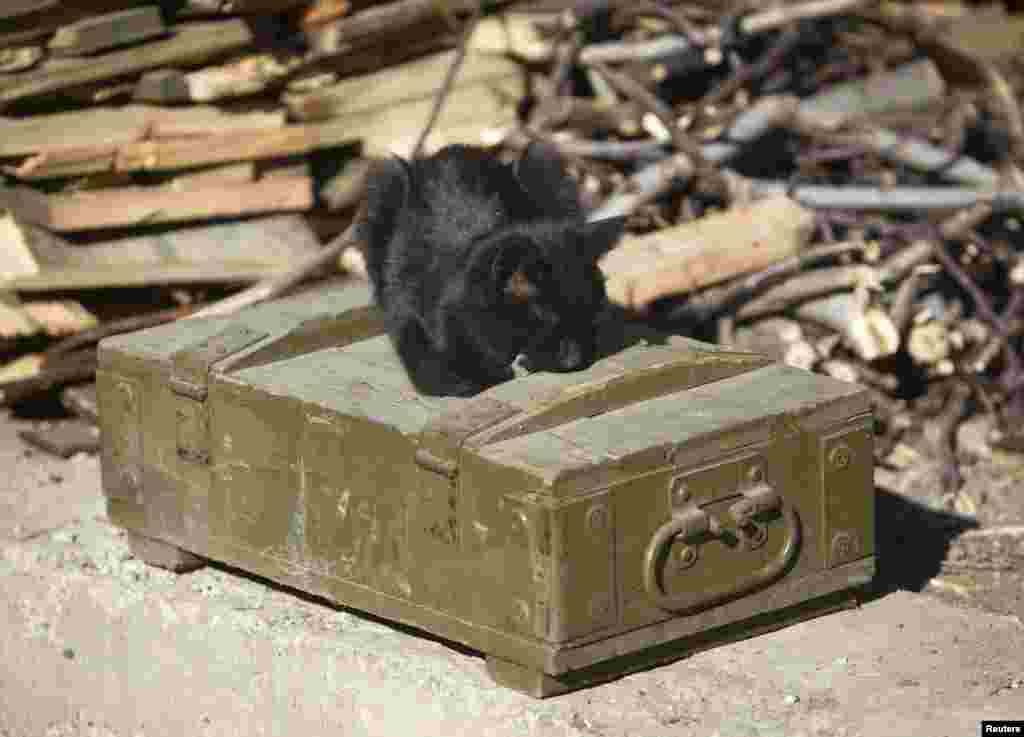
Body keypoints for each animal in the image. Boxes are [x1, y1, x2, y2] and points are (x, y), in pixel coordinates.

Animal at [360, 143, 630, 397]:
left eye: (594, 315)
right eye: (547, 319)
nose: (573, 361)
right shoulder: (405, 312)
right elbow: (444, 372)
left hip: (542, 160)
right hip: (385, 181)